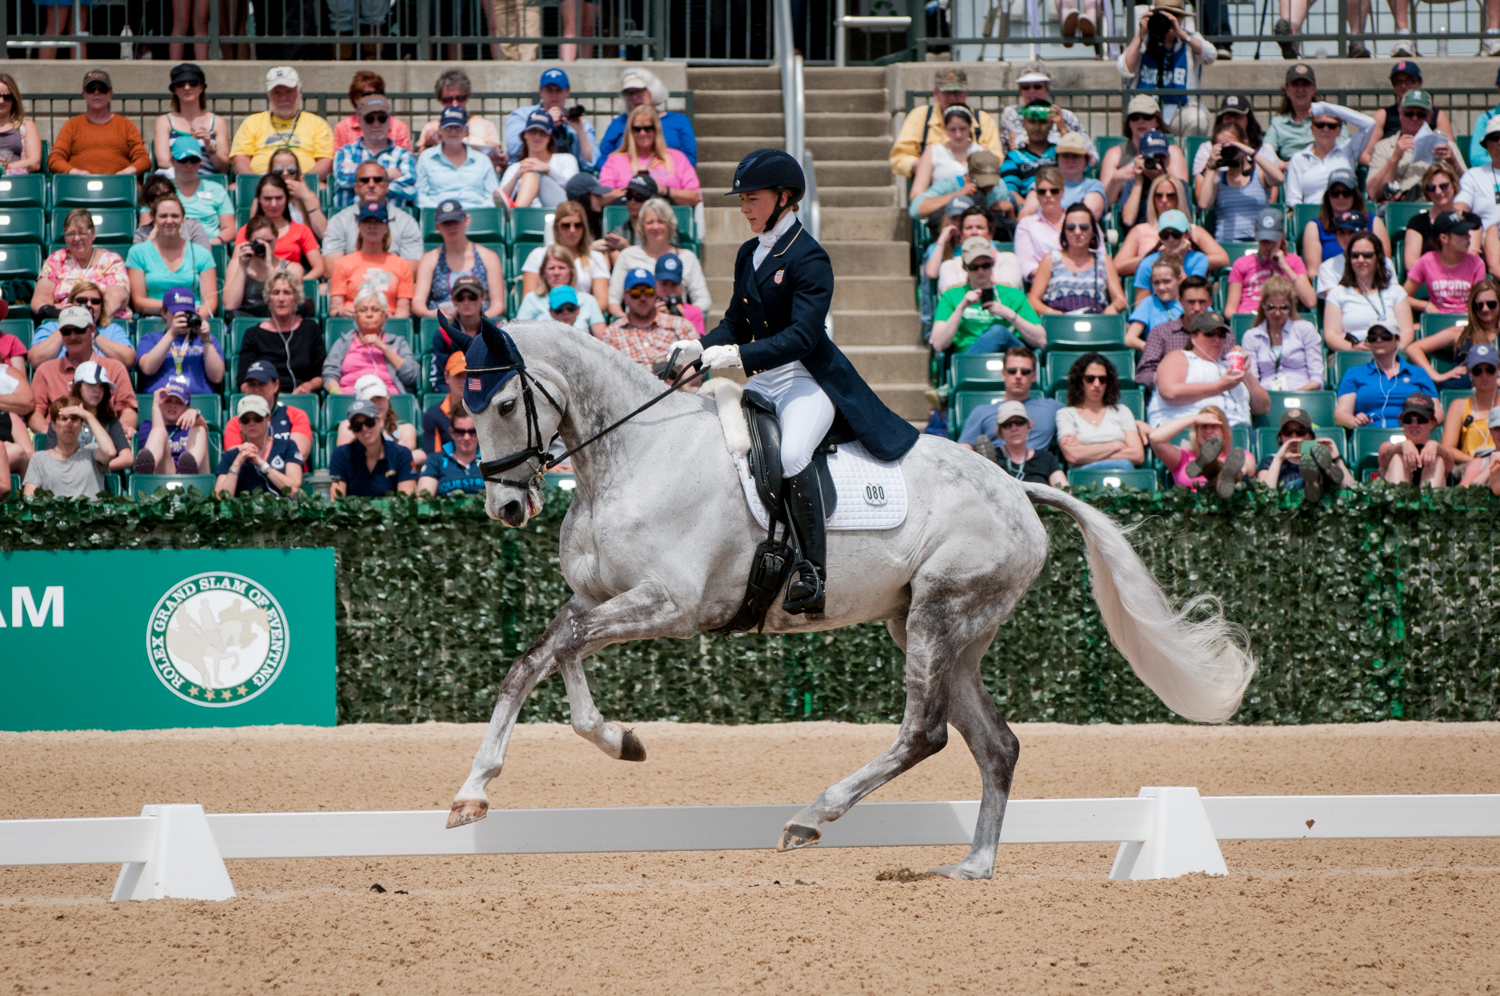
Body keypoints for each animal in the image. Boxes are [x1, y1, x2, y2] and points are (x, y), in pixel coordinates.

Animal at [446, 319, 1255, 880]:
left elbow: (554, 650)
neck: (632, 456)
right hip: (945, 631)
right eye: (466, 408)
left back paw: (813, 817)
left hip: (937, 614)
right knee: (996, 744)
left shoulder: (670, 606)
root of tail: (1017, 488)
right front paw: (595, 747)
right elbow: (546, 653)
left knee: (925, 733)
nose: (505, 508)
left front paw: (504, 779)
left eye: (507, 402)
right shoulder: (598, 595)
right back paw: (971, 866)